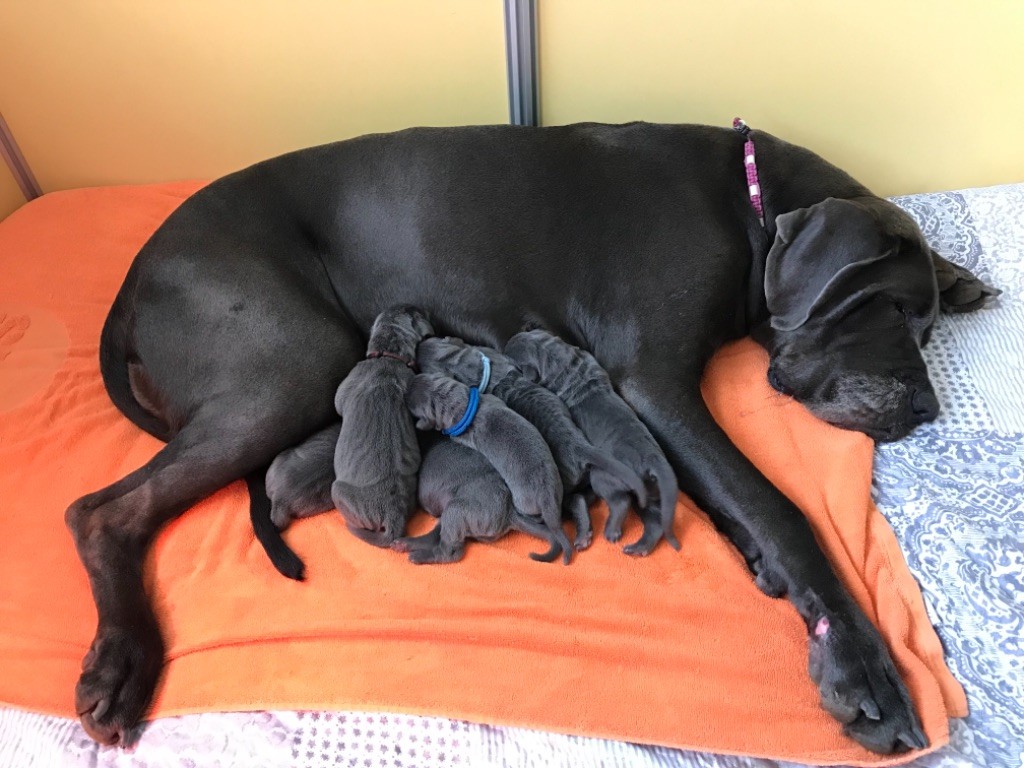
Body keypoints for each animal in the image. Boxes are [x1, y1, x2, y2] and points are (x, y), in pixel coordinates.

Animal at [413, 335, 647, 552]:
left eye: (428, 368)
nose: (420, 345)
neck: (474, 367)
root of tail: (578, 446)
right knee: (580, 498)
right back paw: (584, 535)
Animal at [503, 329, 679, 552]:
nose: (510, 338)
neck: (562, 360)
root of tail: (652, 460)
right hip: (651, 492)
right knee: (654, 520)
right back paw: (638, 548)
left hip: (603, 477)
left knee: (620, 502)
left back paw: (611, 532)